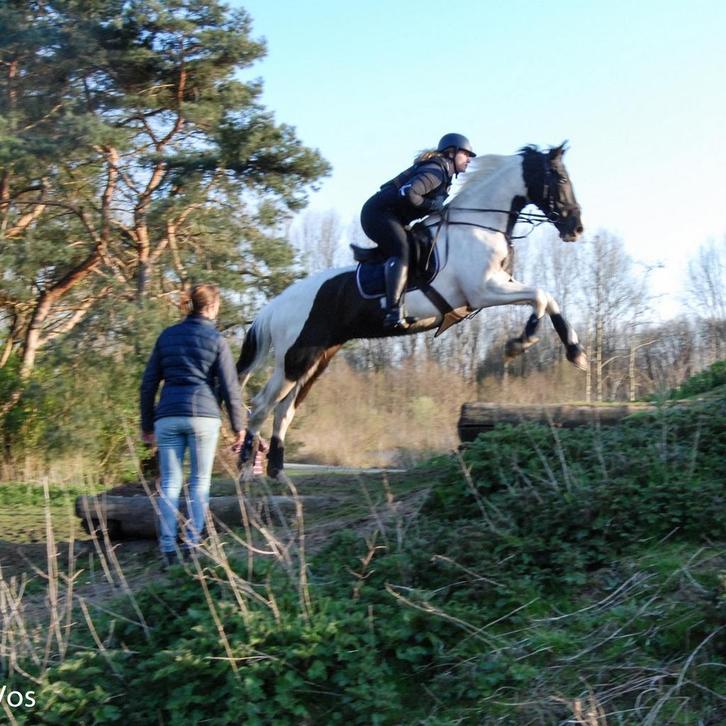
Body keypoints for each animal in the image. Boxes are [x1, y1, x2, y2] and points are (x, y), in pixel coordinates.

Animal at [237, 143, 586, 477]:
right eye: (561, 179)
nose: (576, 227)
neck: (480, 224)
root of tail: (277, 305)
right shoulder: (485, 289)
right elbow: (539, 296)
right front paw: (520, 343)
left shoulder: (500, 284)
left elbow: (548, 298)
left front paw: (576, 352)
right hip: (295, 357)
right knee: (260, 405)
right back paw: (245, 472)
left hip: (318, 358)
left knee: (283, 411)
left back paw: (278, 474)